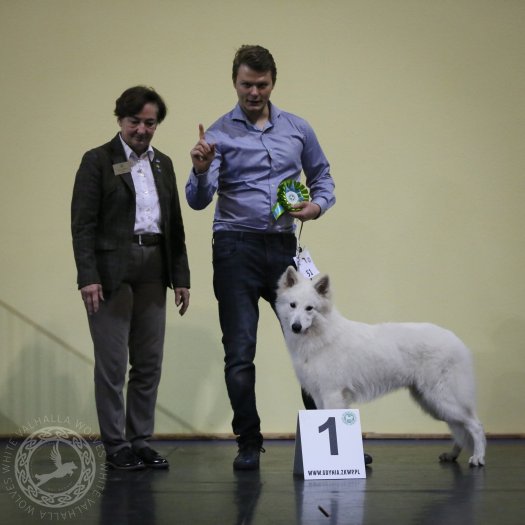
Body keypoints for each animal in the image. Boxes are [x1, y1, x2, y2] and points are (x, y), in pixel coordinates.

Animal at [276, 268, 486, 464]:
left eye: (309, 308)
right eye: (293, 305)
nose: (296, 327)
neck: (322, 336)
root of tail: (456, 341)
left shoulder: (332, 395)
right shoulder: (320, 396)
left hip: (442, 398)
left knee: (475, 425)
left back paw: (478, 458)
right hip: (434, 403)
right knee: (460, 429)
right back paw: (452, 455)